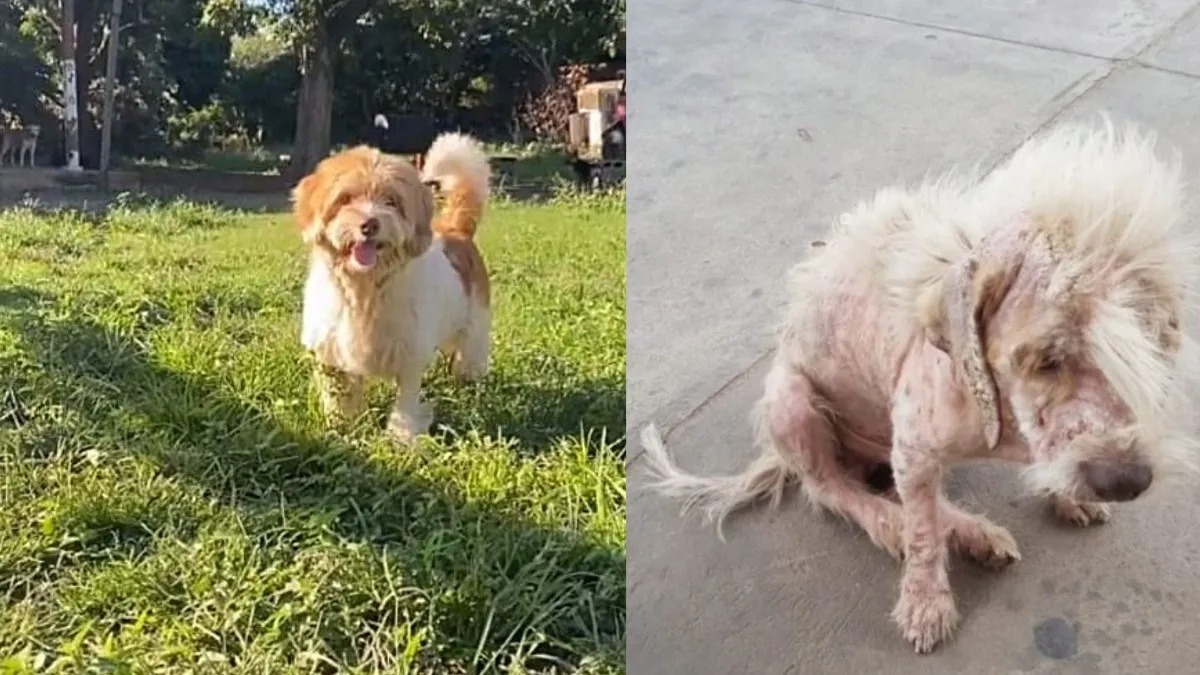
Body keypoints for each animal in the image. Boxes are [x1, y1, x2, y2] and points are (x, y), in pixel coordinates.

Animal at [643, 119, 1200, 653]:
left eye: (1155, 345)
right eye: (1047, 357)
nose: (1128, 481)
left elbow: (939, 505)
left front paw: (1064, 494)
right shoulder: (914, 445)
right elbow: (923, 535)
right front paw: (926, 605)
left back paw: (974, 531)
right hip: (792, 404)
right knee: (834, 489)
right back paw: (896, 524)